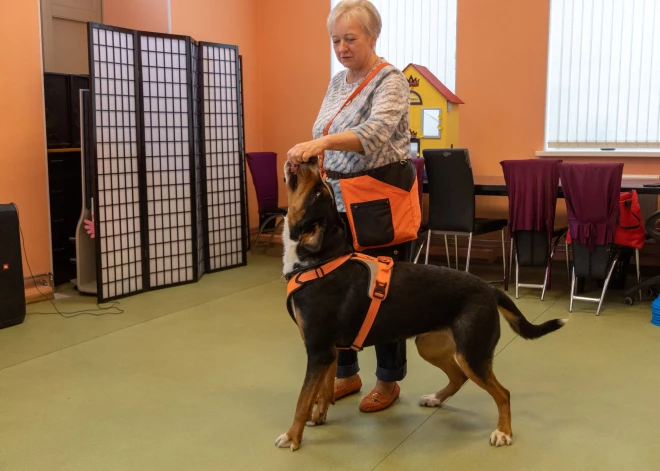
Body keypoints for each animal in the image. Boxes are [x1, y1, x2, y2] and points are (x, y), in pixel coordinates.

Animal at [274, 159, 568, 454]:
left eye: (318, 191)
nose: (311, 160)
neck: (320, 261)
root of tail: (489, 288)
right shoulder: (329, 352)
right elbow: (322, 391)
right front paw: (319, 416)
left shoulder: (319, 351)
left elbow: (302, 400)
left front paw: (292, 436)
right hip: (431, 346)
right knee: (459, 378)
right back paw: (436, 398)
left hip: (471, 353)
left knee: (503, 393)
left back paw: (503, 432)